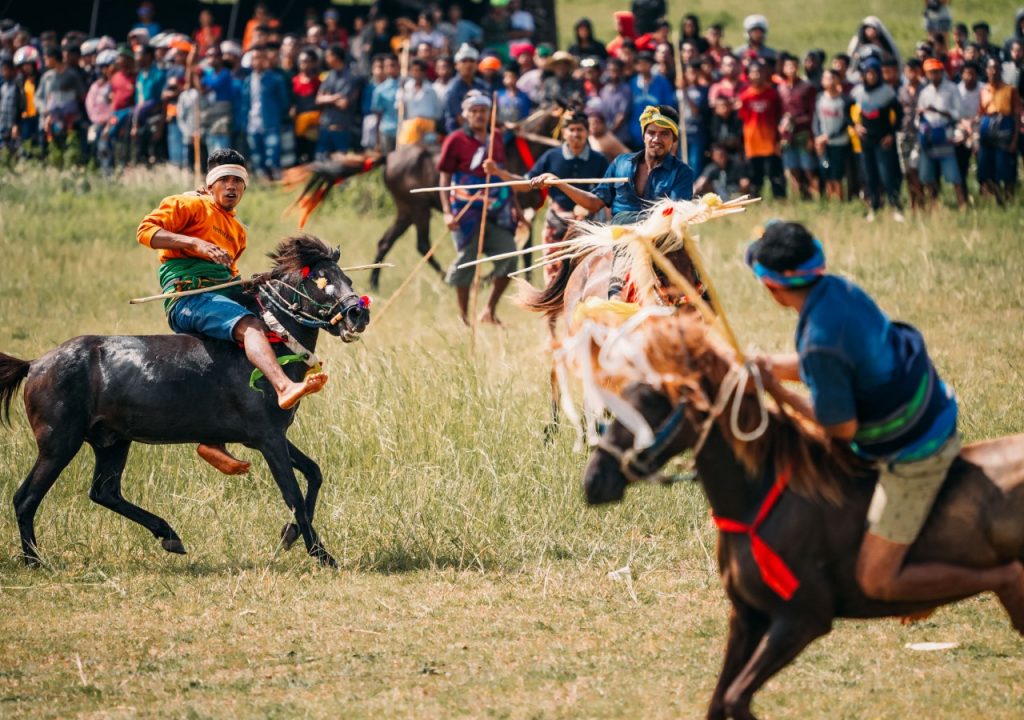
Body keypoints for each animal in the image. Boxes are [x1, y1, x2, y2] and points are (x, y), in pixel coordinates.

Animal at [0, 235, 368, 569]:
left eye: (348, 280)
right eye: (323, 281)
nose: (358, 314)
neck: (273, 344)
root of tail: (35, 364)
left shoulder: (268, 437)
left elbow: (314, 474)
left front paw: (291, 535)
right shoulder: (268, 439)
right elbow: (293, 495)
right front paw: (323, 555)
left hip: (112, 441)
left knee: (104, 491)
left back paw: (168, 535)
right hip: (59, 444)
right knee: (25, 498)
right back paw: (34, 561)